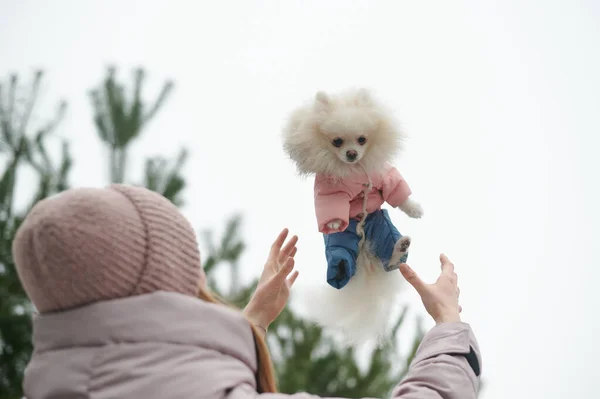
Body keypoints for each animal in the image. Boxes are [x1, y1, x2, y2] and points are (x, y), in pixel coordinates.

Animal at [284, 88, 424, 344]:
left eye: (362, 139)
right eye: (337, 141)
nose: (351, 153)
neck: (355, 170)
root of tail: (363, 247)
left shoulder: (384, 176)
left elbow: (397, 192)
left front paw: (414, 209)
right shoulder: (330, 190)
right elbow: (333, 205)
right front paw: (335, 221)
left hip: (381, 225)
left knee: (390, 259)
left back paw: (400, 246)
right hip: (340, 243)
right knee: (341, 262)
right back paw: (341, 268)